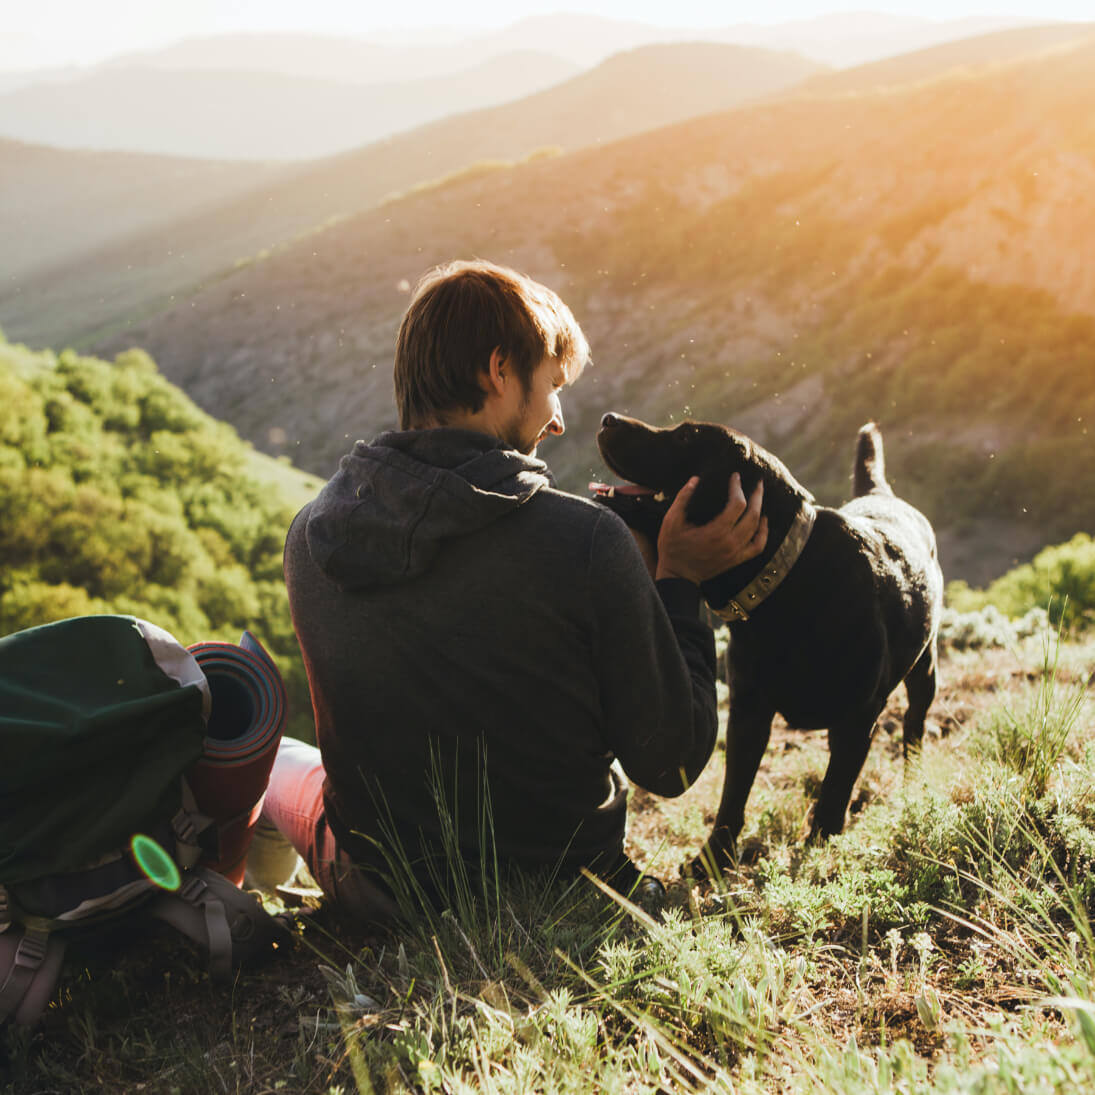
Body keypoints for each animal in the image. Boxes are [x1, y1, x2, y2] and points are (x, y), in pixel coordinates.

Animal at [595, 411, 946, 871]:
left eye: (686, 437)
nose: (608, 418)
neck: (785, 580)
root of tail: (882, 495)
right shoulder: (748, 713)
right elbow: (734, 793)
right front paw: (714, 857)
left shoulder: (856, 721)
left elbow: (833, 794)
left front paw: (819, 852)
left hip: (925, 670)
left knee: (913, 727)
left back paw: (913, 781)